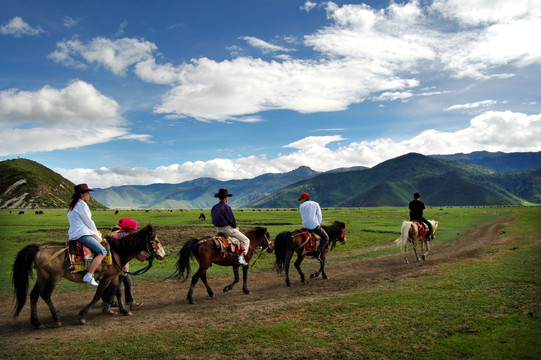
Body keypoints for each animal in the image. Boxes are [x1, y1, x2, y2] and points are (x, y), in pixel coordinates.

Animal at [11, 225, 166, 330]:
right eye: (157, 241)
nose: (163, 255)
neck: (118, 252)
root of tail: (39, 248)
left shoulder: (114, 276)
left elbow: (118, 292)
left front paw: (124, 310)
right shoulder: (106, 278)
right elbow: (98, 295)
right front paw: (82, 315)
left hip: (43, 277)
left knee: (33, 295)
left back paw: (36, 322)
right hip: (54, 277)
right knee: (45, 295)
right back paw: (56, 318)